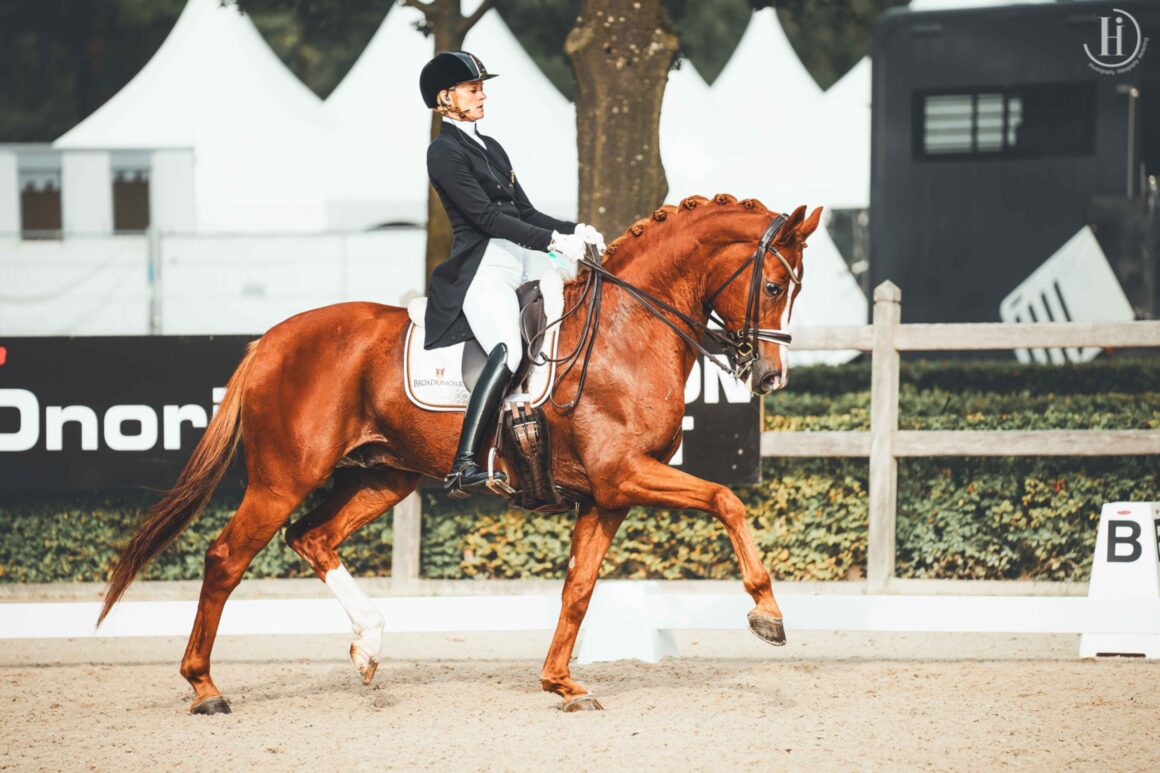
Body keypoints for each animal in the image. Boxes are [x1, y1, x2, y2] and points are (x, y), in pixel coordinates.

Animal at [102, 192, 825, 710]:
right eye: (771, 286)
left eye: (797, 288)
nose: (770, 377)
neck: (628, 329)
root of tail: (272, 339)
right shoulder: (626, 475)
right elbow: (727, 498)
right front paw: (767, 612)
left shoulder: (608, 495)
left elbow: (579, 588)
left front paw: (560, 682)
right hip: (283, 478)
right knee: (227, 557)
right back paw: (205, 687)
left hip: (384, 477)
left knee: (312, 537)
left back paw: (368, 646)